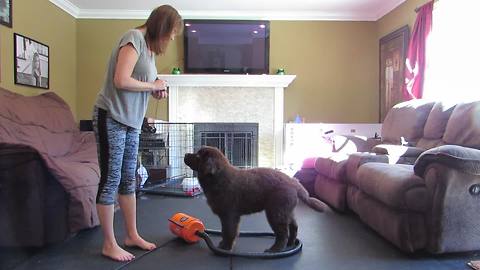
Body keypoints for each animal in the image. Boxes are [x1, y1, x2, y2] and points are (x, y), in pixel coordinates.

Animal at [184, 147, 330, 252]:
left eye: (198, 156)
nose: (185, 154)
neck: (218, 179)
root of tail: (294, 181)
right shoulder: (228, 216)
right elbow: (226, 232)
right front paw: (223, 245)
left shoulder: (229, 215)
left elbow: (228, 232)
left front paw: (226, 248)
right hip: (287, 210)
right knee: (293, 226)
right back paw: (290, 244)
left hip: (276, 212)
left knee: (283, 233)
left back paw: (275, 250)